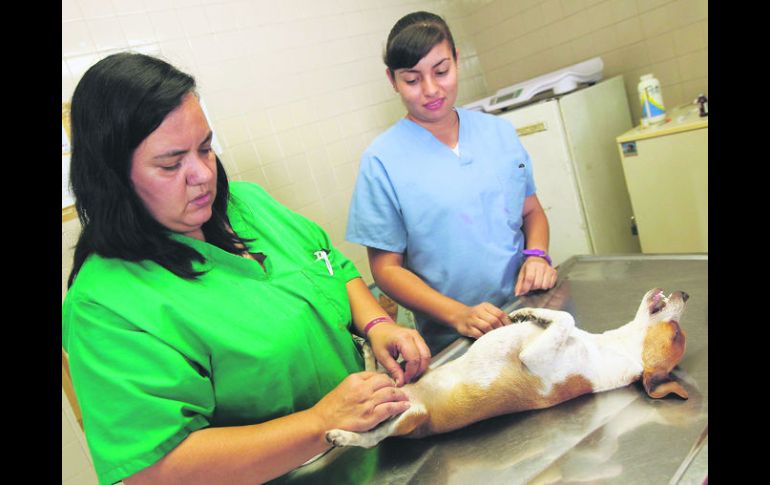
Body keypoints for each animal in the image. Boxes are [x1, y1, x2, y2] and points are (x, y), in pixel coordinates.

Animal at [324, 286, 684, 448]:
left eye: (676, 334)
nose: (687, 294)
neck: (610, 348)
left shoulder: (535, 357)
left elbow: (565, 317)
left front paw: (532, 313)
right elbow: (558, 317)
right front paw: (527, 312)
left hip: (405, 416)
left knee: (373, 438)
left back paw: (342, 435)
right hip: (392, 384)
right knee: (378, 373)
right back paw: (366, 348)